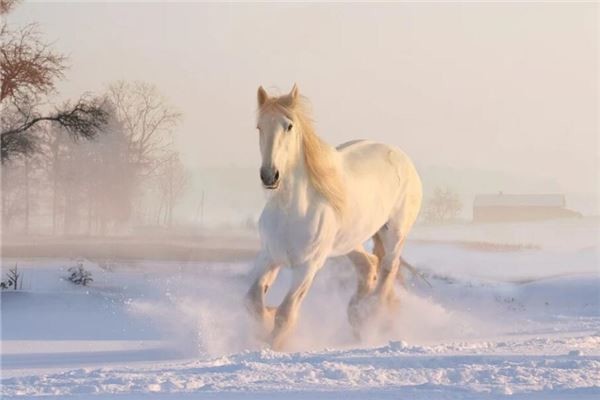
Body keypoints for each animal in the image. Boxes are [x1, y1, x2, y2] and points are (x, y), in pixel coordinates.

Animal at [244, 84, 422, 350]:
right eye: (259, 126)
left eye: (289, 126)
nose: (269, 176)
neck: (291, 211)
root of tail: (401, 156)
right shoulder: (269, 256)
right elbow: (253, 301)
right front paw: (265, 322)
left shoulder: (307, 267)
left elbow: (285, 314)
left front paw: (273, 345)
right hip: (349, 241)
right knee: (369, 265)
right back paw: (357, 314)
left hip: (395, 233)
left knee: (388, 268)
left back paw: (370, 313)